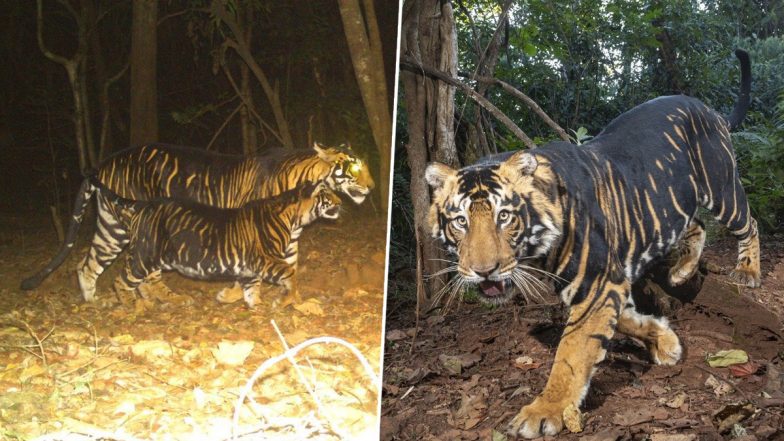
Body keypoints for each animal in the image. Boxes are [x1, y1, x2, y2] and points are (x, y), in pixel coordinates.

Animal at [20, 142, 372, 291]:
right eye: (354, 168)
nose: (371, 187)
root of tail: (106, 161)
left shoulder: (289, 238)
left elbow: (290, 265)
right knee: (139, 270)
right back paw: (159, 298)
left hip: (110, 226)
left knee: (88, 265)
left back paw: (96, 303)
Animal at [77, 180, 341, 309]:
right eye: (327, 194)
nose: (341, 202)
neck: (295, 220)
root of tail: (143, 204)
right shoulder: (265, 259)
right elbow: (291, 275)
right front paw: (286, 301)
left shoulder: (251, 266)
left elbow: (251, 287)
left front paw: (255, 304)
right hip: (145, 255)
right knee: (121, 281)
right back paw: (133, 306)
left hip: (153, 257)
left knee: (149, 282)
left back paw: (164, 301)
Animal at [424, 50, 758, 438]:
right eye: (460, 221)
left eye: (504, 217)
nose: (483, 271)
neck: (538, 254)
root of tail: (707, 108)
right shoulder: (602, 285)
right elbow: (623, 320)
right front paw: (665, 341)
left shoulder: (598, 283)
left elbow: (571, 352)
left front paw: (544, 410)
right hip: (674, 202)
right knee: (697, 225)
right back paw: (681, 271)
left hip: (722, 187)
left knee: (748, 224)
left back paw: (748, 271)